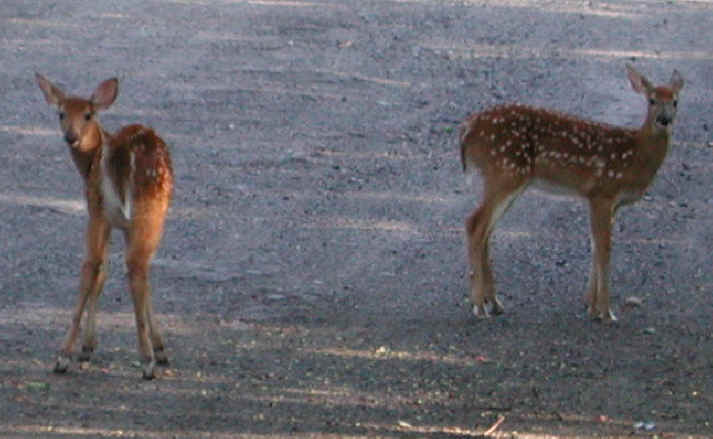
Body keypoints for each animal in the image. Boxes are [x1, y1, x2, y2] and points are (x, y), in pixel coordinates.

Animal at [35, 73, 174, 379]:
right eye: (61, 113)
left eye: (88, 115)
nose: (71, 136)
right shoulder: (122, 224)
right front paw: (159, 347)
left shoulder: (103, 214)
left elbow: (99, 274)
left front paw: (86, 348)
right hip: (151, 211)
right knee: (137, 267)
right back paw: (150, 355)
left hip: (102, 208)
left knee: (93, 266)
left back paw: (66, 356)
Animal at [459, 64, 683, 322]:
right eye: (652, 100)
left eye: (675, 101)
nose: (664, 120)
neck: (635, 156)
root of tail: (468, 127)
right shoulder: (603, 192)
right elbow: (604, 248)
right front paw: (606, 312)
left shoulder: (607, 201)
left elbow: (595, 245)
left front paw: (591, 307)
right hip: (504, 171)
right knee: (475, 223)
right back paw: (479, 306)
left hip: (509, 179)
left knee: (486, 230)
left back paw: (494, 302)